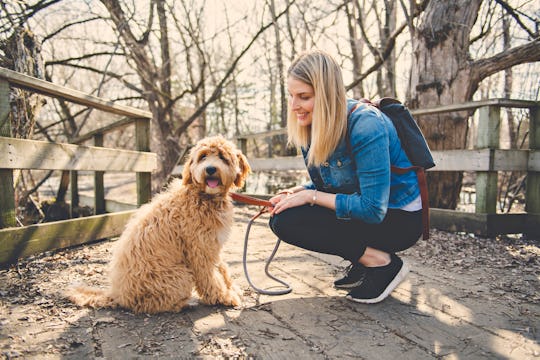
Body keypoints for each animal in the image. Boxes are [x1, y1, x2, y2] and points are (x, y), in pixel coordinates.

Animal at [67, 136, 251, 314]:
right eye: (203, 156)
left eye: (222, 157)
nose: (210, 169)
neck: (201, 196)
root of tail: (118, 295)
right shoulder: (199, 249)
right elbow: (211, 276)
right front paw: (223, 297)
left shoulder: (213, 244)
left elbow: (223, 269)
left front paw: (231, 288)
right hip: (180, 275)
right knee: (150, 305)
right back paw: (184, 304)